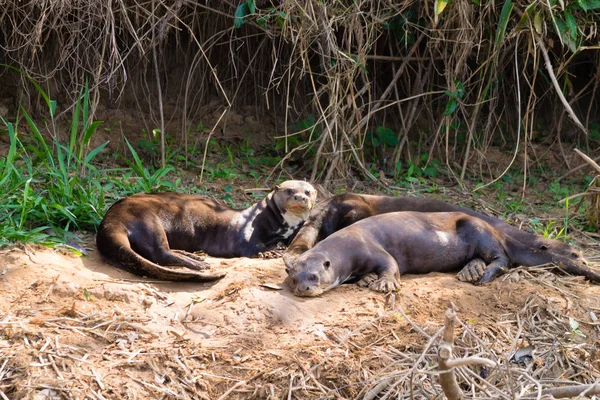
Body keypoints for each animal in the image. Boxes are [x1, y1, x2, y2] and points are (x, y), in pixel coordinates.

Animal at [95, 181, 316, 282]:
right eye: (289, 190)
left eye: (308, 191)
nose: (300, 197)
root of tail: (110, 219)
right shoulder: (247, 229)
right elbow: (250, 246)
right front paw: (268, 252)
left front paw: (278, 247)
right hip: (147, 218)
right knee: (159, 253)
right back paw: (199, 264)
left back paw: (195, 257)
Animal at [288, 211, 600, 296]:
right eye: (294, 278)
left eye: (314, 276)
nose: (303, 288)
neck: (347, 245)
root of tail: (495, 228)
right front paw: (365, 280)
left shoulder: (370, 246)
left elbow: (390, 264)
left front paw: (384, 283)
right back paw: (471, 271)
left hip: (479, 231)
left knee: (503, 259)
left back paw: (484, 275)